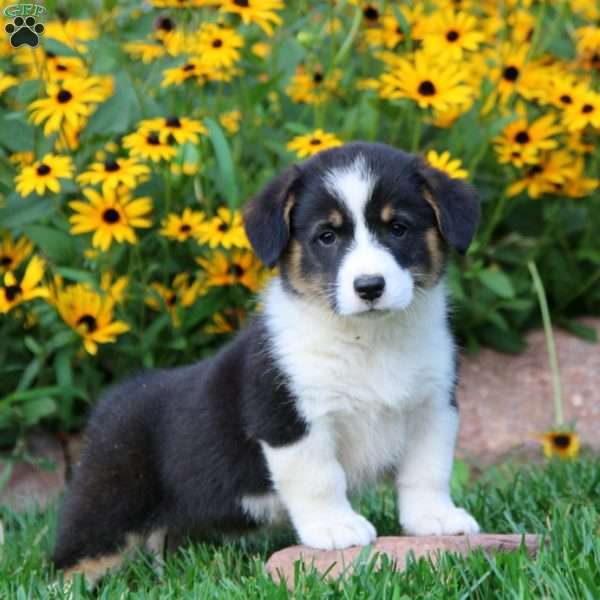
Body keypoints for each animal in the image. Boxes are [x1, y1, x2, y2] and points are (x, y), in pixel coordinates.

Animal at [54, 142, 480, 584]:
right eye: (327, 236)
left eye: (398, 228)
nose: (369, 287)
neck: (370, 340)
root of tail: (110, 403)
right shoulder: (289, 421)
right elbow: (320, 477)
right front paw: (336, 529)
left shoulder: (433, 407)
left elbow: (427, 471)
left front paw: (436, 520)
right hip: (109, 501)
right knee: (74, 558)